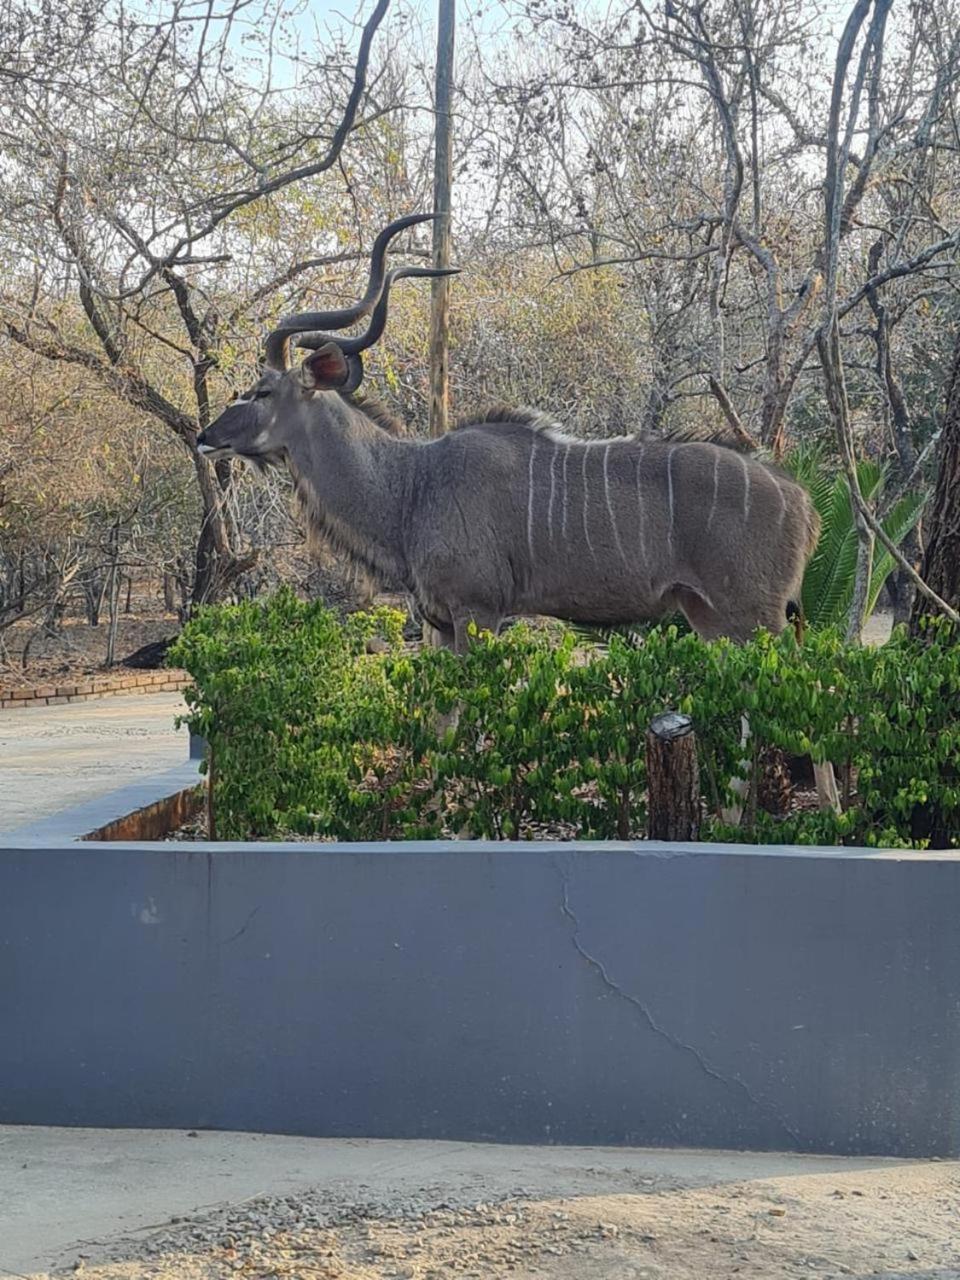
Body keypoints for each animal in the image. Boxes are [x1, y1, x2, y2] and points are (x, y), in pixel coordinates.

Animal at [199, 215, 824, 650]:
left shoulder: (477, 613)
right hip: (710, 616)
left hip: (754, 615)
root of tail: (801, 500)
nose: (206, 437)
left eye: (261, 391)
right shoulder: (442, 624)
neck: (411, 486)